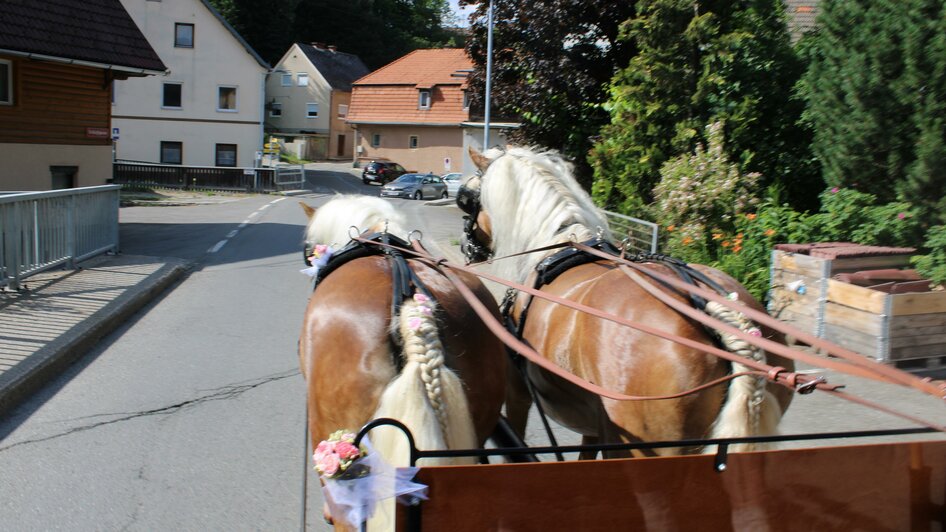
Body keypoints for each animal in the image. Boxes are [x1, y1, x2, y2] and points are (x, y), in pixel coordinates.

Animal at [456, 148, 788, 460]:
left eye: (465, 200)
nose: (465, 247)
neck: (559, 246)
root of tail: (713, 312)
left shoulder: (518, 394)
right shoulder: (595, 425)